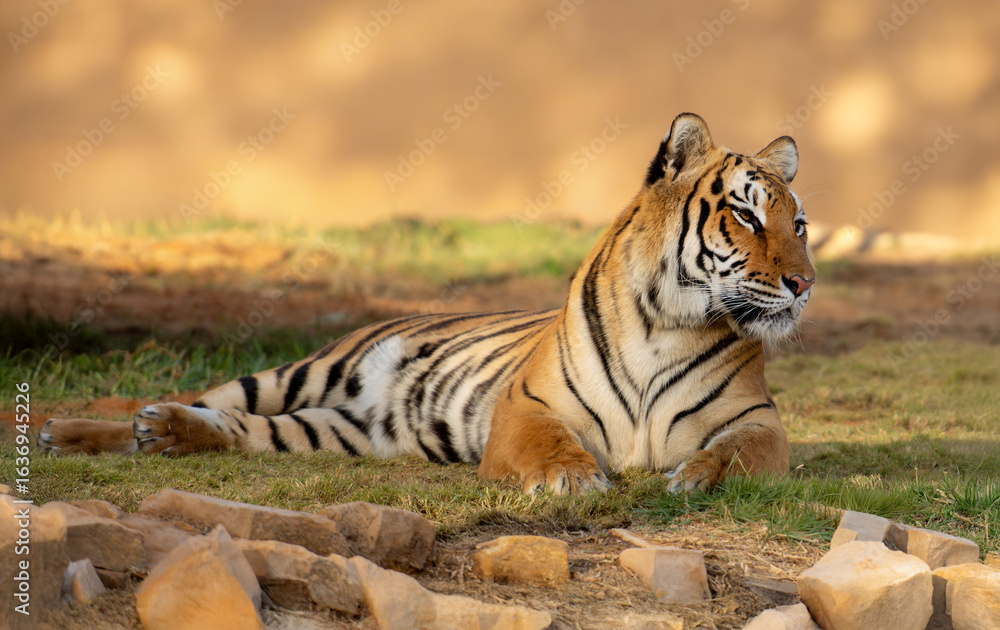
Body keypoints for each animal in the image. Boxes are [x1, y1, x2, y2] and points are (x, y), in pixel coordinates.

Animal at [37, 113, 814, 495]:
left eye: (798, 224)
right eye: (748, 216)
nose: (804, 284)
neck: (668, 323)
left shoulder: (757, 420)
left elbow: (740, 455)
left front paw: (694, 477)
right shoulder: (528, 405)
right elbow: (551, 445)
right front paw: (572, 479)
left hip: (333, 431)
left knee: (237, 429)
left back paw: (163, 435)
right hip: (295, 374)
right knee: (203, 399)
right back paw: (73, 431)